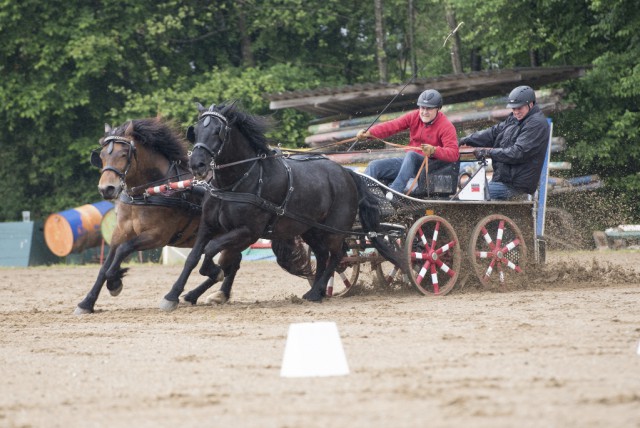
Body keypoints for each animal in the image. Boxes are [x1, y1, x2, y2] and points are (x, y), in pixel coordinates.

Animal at [158, 103, 402, 310]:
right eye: (196, 130)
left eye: (218, 131)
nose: (197, 164)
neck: (235, 182)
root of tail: (347, 173)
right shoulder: (208, 226)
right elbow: (194, 257)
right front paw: (173, 295)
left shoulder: (248, 231)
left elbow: (213, 252)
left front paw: (213, 274)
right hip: (311, 229)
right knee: (323, 255)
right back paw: (317, 291)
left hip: (334, 229)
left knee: (336, 255)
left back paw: (317, 292)